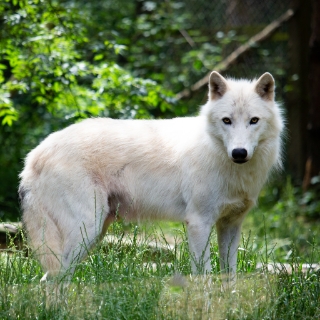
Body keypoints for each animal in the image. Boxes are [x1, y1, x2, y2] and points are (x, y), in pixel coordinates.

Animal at [18, 72, 282, 282]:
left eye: (254, 121)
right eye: (227, 120)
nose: (239, 153)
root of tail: (34, 155)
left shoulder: (231, 224)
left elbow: (230, 279)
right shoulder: (198, 223)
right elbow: (205, 279)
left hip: (94, 233)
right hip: (86, 229)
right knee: (53, 280)